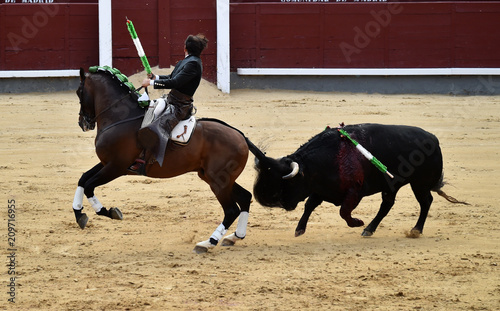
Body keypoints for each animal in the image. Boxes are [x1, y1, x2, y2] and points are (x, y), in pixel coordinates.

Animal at [73, 67, 254, 254]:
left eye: (79, 91)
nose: (82, 123)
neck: (120, 118)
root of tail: (241, 136)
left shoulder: (116, 167)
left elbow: (89, 185)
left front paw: (108, 212)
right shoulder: (107, 163)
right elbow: (83, 179)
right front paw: (79, 214)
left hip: (217, 181)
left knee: (231, 210)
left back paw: (207, 243)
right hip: (216, 178)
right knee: (245, 197)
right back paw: (234, 237)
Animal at [248, 123, 466, 238]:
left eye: (286, 182)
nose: (265, 199)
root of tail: (434, 139)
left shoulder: (355, 191)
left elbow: (343, 211)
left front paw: (357, 222)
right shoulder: (321, 190)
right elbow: (310, 205)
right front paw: (299, 229)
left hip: (419, 183)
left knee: (425, 202)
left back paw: (415, 229)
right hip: (393, 185)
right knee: (388, 204)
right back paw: (370, 229)